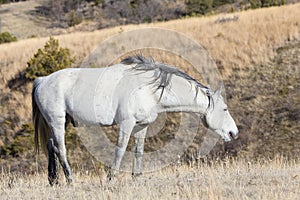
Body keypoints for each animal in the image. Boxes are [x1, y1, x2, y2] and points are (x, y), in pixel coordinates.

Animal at [32, 55, 238, 186]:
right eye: (225, 109)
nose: (233, 133)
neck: (148, 89)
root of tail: (42, 80)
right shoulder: (126, 124)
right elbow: (120, 150)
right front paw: (111, 179)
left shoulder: (142, 126)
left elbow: (138, 151)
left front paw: (136, 178)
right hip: (57, 122)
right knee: (61, 149)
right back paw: (69, 180)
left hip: (58, 123)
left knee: (51, 147)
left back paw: (53, 180)